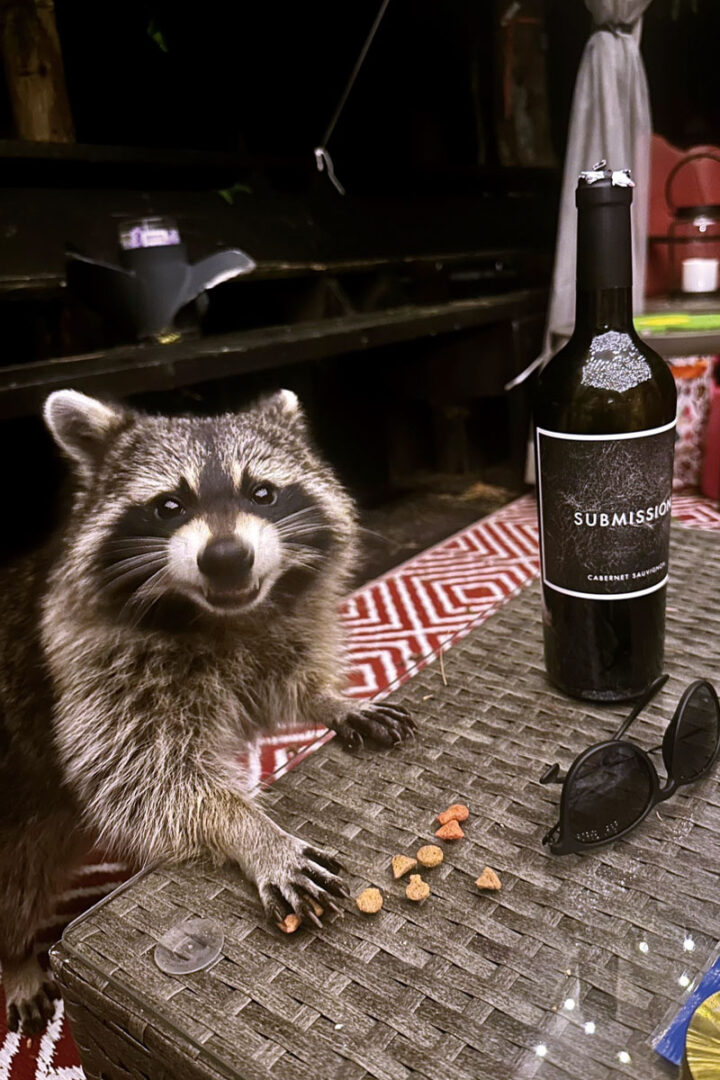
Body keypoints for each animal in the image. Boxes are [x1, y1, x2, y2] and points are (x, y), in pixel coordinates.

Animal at [0, 388, 414, 1033]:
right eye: (169, 506)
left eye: (262, 493)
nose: (225, 558)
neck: (217, 615)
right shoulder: (95, 669)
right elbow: (147, 778)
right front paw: (250, 829)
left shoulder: (268, 633)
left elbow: (278, 687)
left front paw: (332, 699)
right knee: (16, 886)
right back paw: (16, 956)